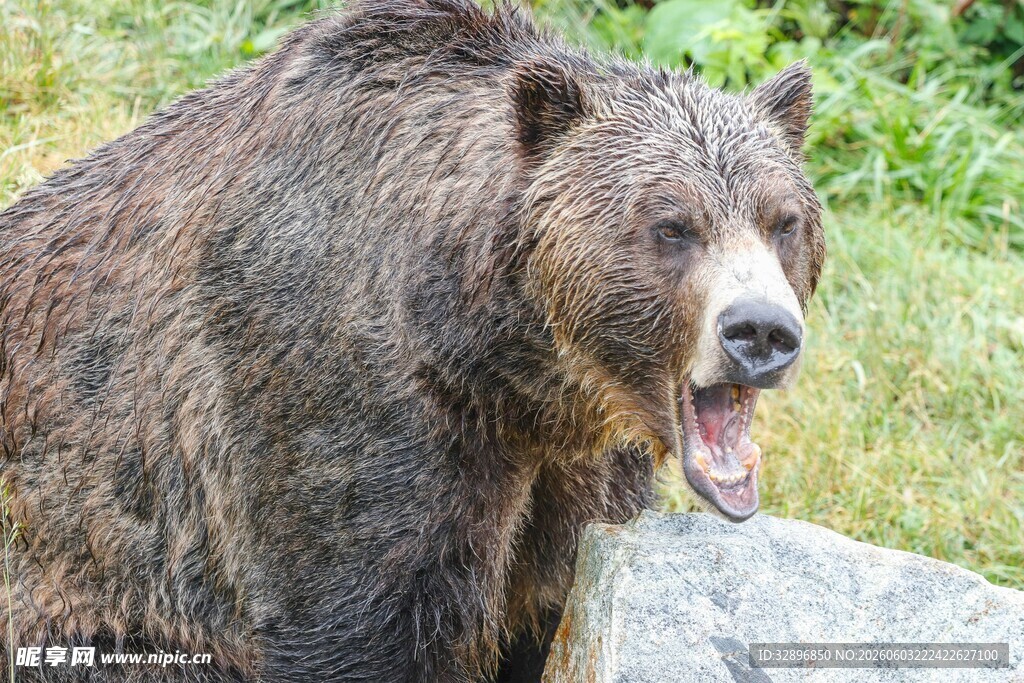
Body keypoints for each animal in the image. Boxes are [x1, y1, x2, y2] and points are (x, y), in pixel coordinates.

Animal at [0, 0, 825, 681]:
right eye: (672, 225)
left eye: (782, 220)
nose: (761, 330)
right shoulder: (343, 411)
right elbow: (352, 615)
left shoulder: (572, 476)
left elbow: (549, 606)